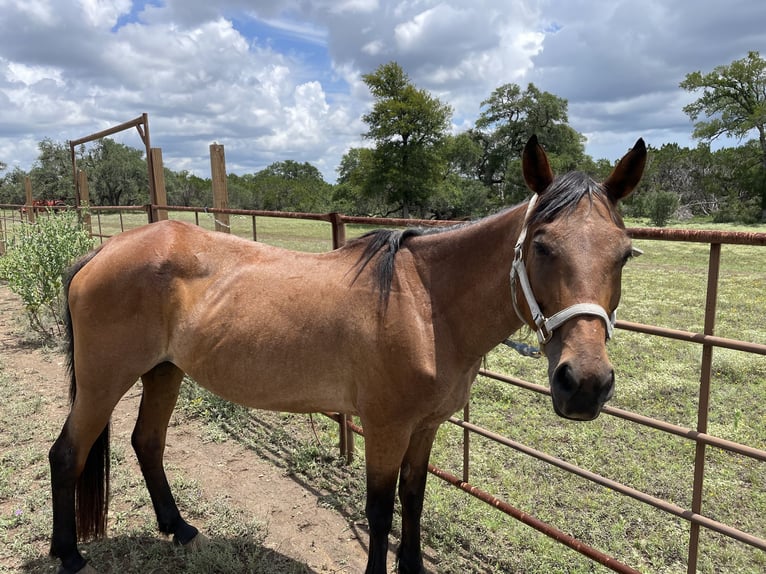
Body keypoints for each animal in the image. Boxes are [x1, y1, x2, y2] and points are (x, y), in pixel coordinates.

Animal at [48, 136, 648, 574]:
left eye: (625, 255)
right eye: (542, 246)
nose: (585, 384)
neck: (427, 305)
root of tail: (102, 251)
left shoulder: (425, 427)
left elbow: (413, 499)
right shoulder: (384, 428)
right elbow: (380, 512)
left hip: (164, 373)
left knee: (147, 443)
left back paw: (179, 529)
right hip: (105, 381)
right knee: (68, 454)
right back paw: (70, 555)